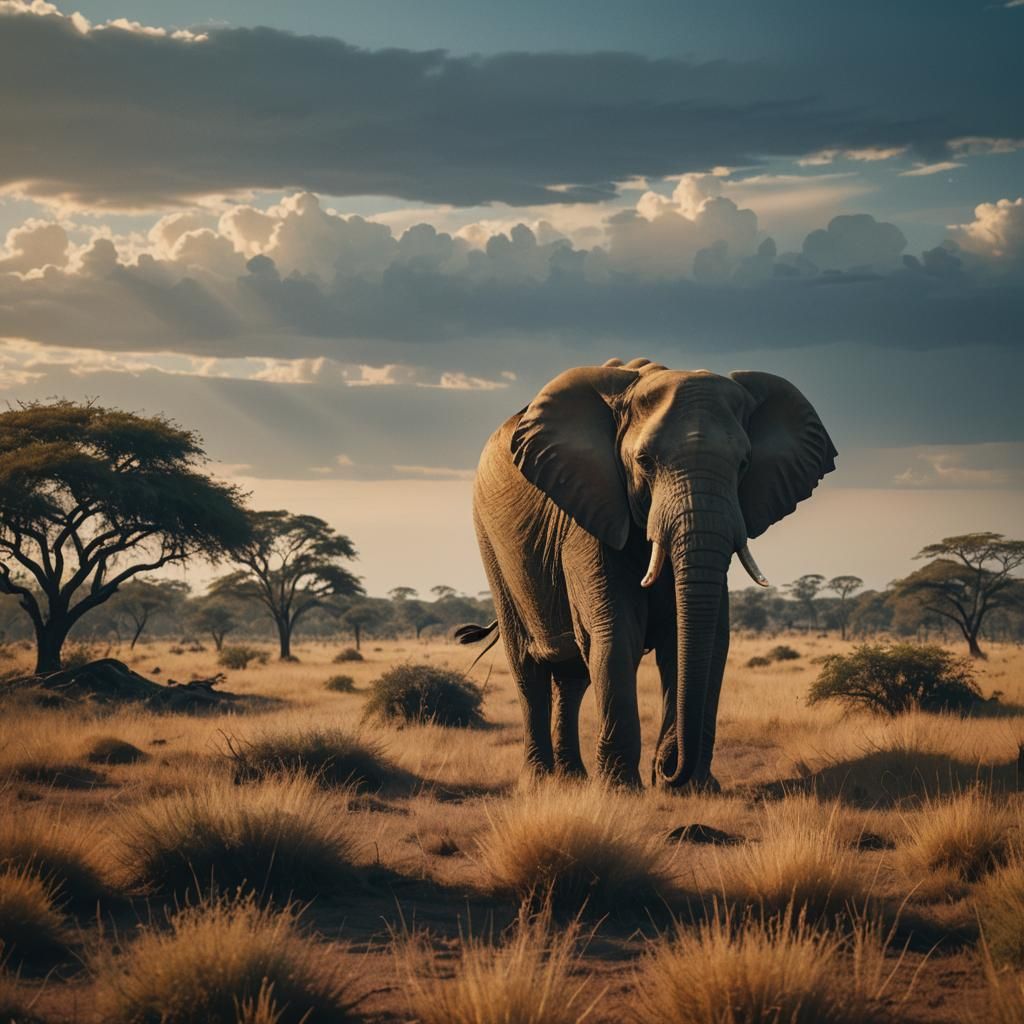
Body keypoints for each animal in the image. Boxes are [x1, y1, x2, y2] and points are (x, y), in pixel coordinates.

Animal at [458, 358, 836, 791]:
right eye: (644, 463)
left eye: (743, 464)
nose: (668, 773)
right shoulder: (587, 519)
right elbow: (616, 631)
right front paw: (620, 792)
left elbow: (704, 638)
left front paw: (694, 790)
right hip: (491, 542)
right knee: (528, 667)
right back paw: (539, 784)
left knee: (572, 677)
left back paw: (572, 780)